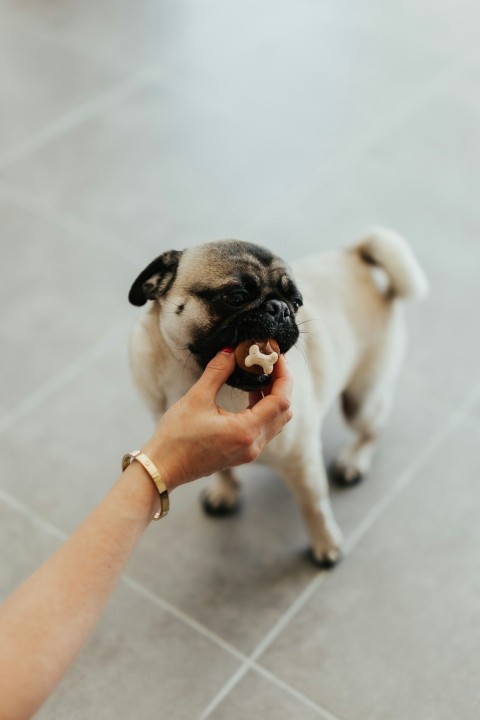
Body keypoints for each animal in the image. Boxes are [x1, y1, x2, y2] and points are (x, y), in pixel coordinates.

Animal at [127, 231, 428, 568]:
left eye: (296, 304)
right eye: (235, 297)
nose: (280, 308)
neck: (196, 380)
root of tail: (355, 256)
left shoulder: (302, 458)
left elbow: (313, 504)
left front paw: (326, 545)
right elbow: (223, 468)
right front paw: (225, 493)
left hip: (360, 399)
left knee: (373, 428)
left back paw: (354, 461)